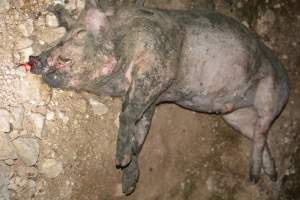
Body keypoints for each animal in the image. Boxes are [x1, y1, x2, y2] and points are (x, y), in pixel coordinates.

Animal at [27, 0, 288, 195]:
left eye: (78, 34)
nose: (33, 58)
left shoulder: (158, 65)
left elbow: (129, 113)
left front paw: (120, 161)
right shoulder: (151, 96)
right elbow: (140, 128)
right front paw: (128, 182)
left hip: (272, 92)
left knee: (263, 128)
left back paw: (255, 177)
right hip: (235, 117)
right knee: (259, 135)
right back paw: (268, 174)